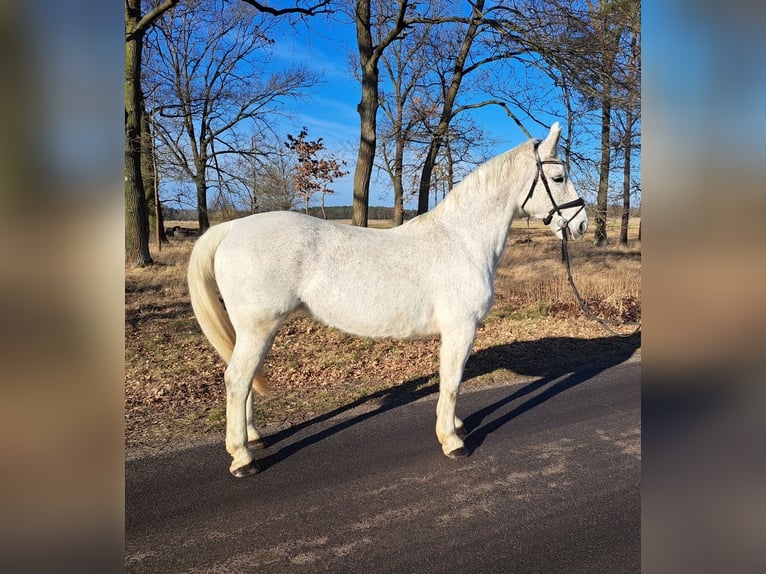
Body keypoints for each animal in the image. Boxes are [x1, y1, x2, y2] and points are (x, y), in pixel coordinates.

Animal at [189, 124, 592, 480]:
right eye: (558, 178)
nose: (581, 224)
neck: (462, 240)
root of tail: (232, 228)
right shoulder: (460, 329)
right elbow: (452, 381)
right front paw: (452, 440)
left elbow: (451, 380)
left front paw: (455, 424)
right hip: (259, 327)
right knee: (237, 379)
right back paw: (242, 459)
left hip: (254, 330)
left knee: (243, 380)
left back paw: (254, 439)